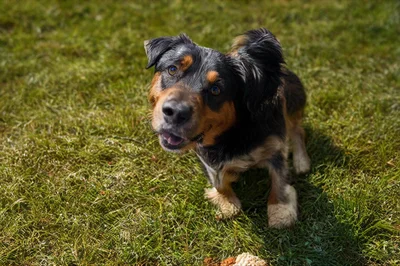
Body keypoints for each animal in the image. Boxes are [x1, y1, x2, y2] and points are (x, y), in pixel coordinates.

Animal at [145, 28, 310, 229]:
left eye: (216, 89)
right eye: (172, 69)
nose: (176, 112)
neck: (231, 133)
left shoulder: (275, 143)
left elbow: (280, 178)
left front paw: (281, 211)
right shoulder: (206, 157)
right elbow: (219, 181)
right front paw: (227, 203)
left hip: (291, 98)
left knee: (297, 130)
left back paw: (302, 162)